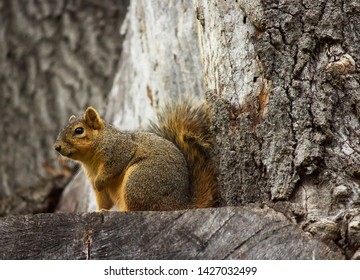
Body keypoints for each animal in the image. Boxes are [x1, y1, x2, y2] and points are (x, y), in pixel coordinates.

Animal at [53, 99, 217, 211]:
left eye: (79, 130)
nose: (56, 147)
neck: (90, 160)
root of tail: (179, 204)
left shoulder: (119, 150)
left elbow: (113, 167)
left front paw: (100, 182)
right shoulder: (94, 181)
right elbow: (103, 200)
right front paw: (100, 211)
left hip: (138, 181)